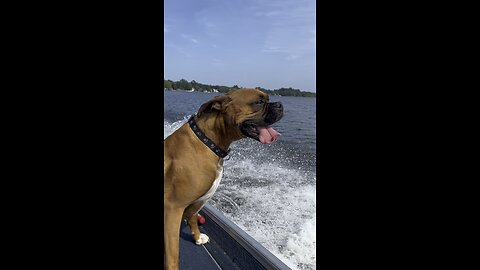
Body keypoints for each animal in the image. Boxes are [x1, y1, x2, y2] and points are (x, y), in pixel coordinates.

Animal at [164, 88, 284, 268]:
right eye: (259, 102)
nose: (280, 105)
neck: (208, 142)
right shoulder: (173, 208)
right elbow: (172, 255)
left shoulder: (198, 202)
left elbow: (193, 219)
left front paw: (197, 237)